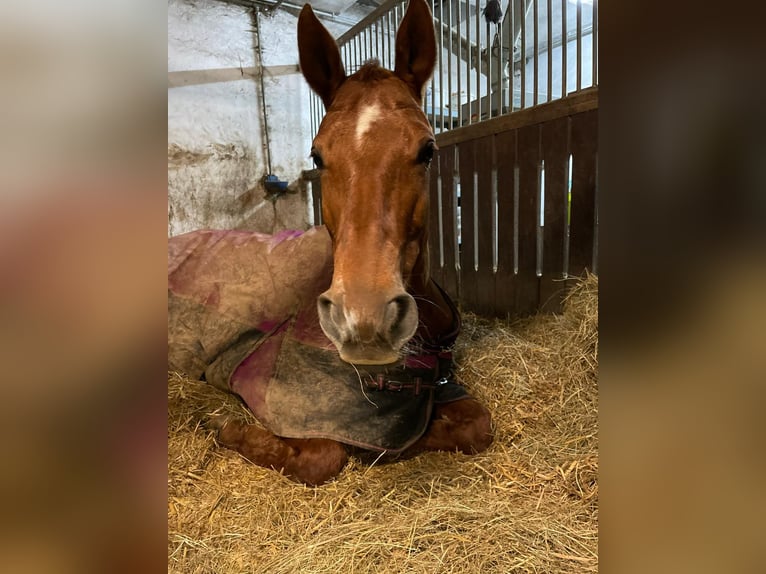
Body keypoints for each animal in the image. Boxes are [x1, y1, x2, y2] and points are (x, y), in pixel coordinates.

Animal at [208, 0, 492, 486]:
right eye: (317, 155)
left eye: (428, 149)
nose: (364, 317)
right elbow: (325, 453)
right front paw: (228, 428)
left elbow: (475, 425)